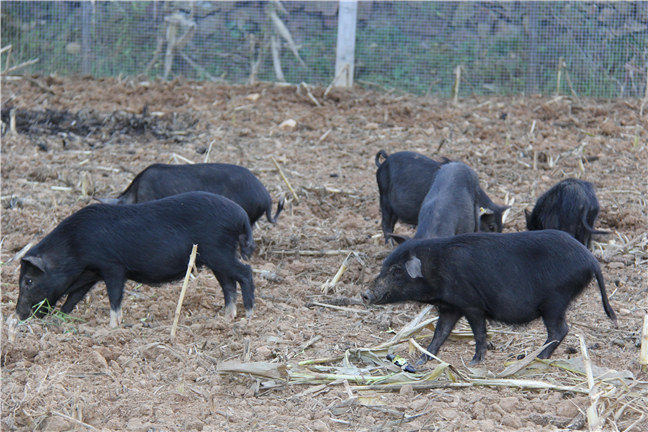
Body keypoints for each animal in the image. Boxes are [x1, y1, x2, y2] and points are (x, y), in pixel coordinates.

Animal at [15, 191, 256, 326]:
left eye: (28, 281)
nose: (18, 314)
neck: (74, 247)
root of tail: (240, 215)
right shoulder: (89, 274)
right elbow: (73, 297)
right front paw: (60, 318)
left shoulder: (112, 266)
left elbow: (114, 296)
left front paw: (112, 326)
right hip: (216, 258)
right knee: (228, 284)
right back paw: (226, 318)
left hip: (218, 252)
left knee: (245, 272)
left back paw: (248, 315)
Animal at [364, 230, 616, 364]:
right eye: (384, 266)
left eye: (396, 270)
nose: (365, 294)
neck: (437, 267)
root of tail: (591, 259)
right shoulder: (451, 307)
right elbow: (440, 332)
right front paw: (423, 360)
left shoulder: (472, 304)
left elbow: (479, 332)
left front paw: (475, 361)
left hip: (555, 301)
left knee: (560, 330)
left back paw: (536, 358)